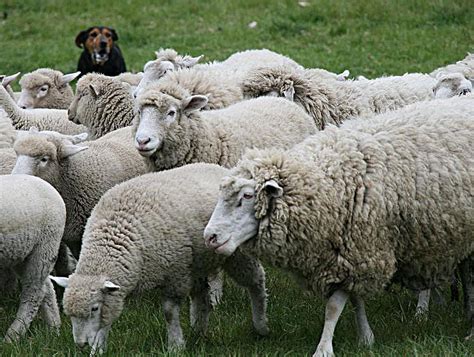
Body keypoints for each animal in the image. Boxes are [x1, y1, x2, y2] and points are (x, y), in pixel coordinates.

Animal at [0, 174, 65, 340]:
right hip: (21, 252)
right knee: (47, 287)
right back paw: (54, 328)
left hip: (45, 244)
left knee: (34, 292)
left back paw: (13, 335)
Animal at [50, 163, 268, 354]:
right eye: (69, 313)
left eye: (94, 308)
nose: (80, 344)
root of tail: (221, 169)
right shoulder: (115, 294)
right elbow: (105, 322)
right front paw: (97, 349)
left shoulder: (176, 274)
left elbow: (169, 313)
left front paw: (175, 346)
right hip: (197, 263)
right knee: (201, 293)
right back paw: (199, 330)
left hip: (236, 254)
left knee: (256, 280)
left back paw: (261, 325)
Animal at [205, 95, 474, 356]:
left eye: (248, 196)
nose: (210, 236)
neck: (328, 183)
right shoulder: (349, 253)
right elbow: (355, 299)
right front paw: (366, 338)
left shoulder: (361, 249)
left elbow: (334, 306)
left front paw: (324, 348)